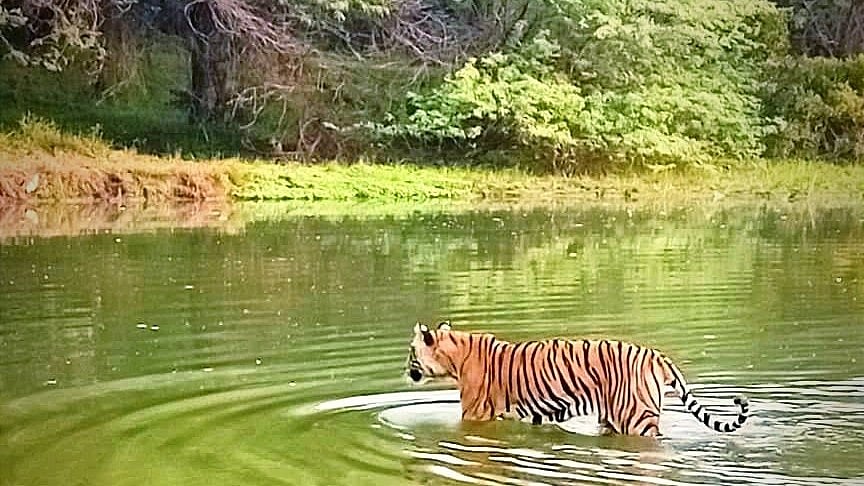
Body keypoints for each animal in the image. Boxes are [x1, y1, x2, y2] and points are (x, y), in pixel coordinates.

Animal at [406, 321, 749, 437]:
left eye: (410, 352)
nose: (406, 370)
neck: (455, 354)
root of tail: (656, 355)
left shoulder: (475, 414)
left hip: (636, 418)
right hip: (612, 415)